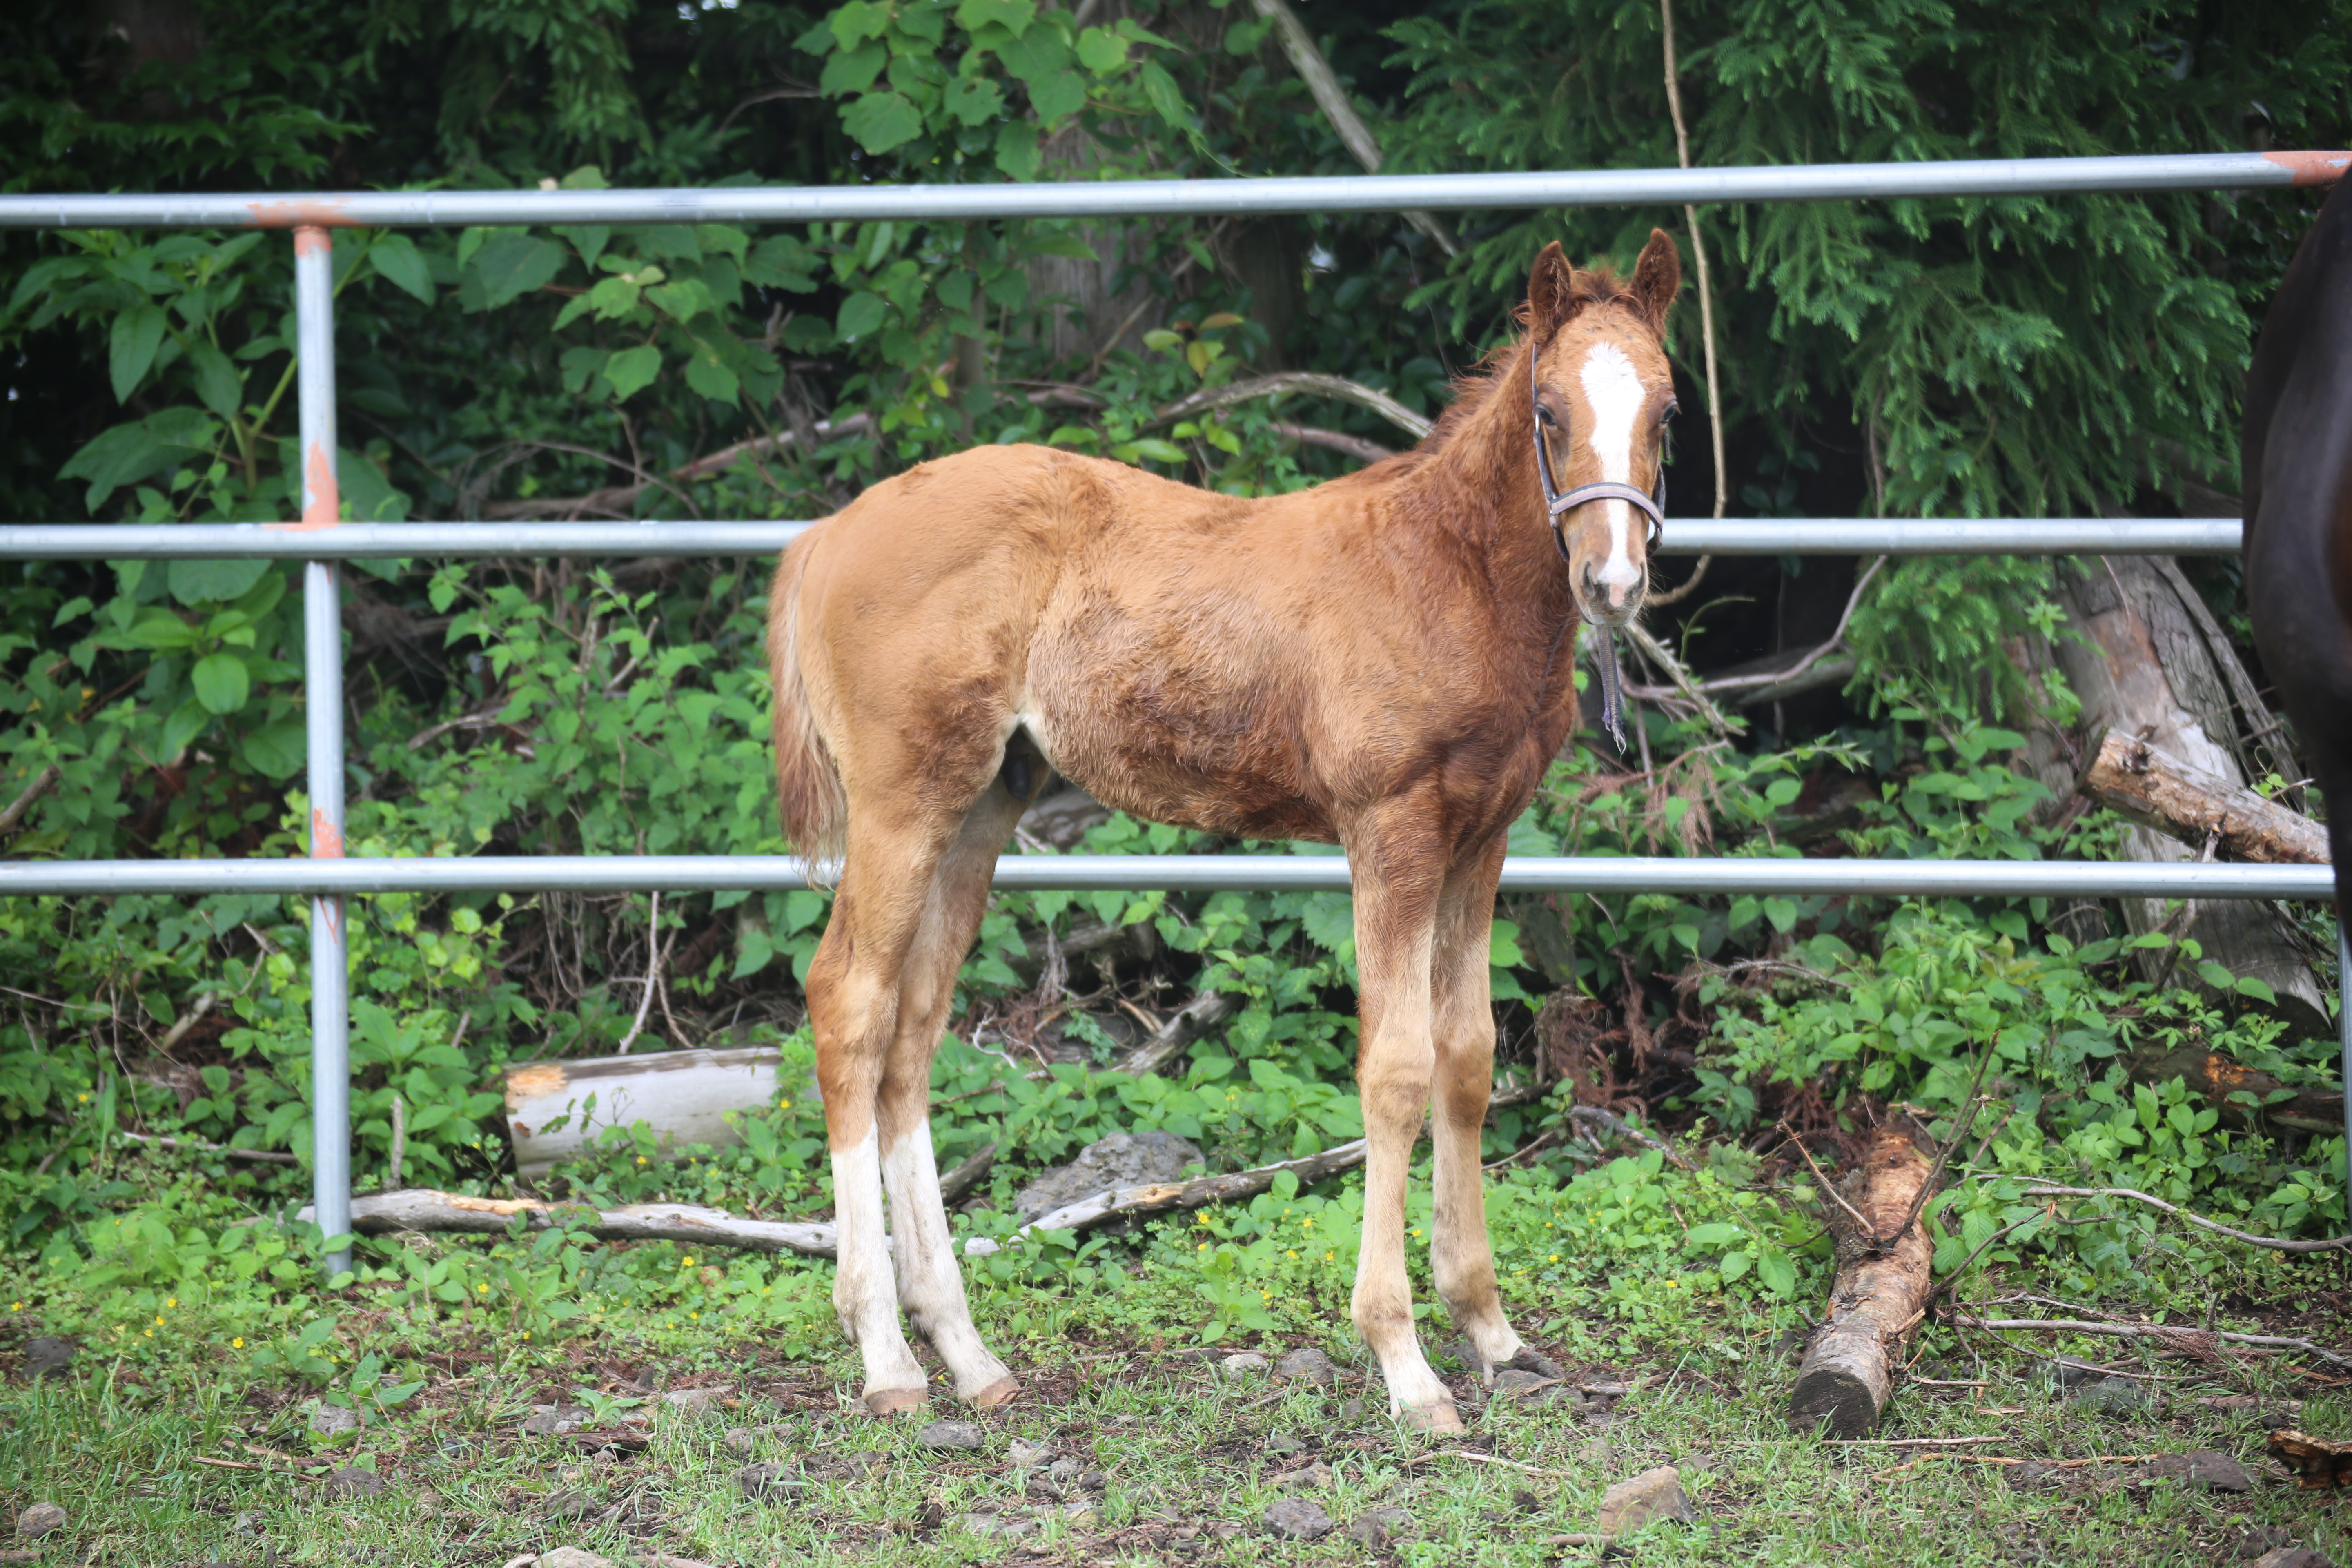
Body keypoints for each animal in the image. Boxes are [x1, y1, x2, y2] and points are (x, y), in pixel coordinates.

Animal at [766, 236, 1675, 1439]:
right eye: (1547, 409)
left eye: (1666, 410)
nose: (1612, 582)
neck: (1449, 576)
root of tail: (826, 533)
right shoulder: (1389, 832)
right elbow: (1394, 1067)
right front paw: (1406, 1364)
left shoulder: (1480, 839)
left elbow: (1469, 1058)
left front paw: (1490, 1330)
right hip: (900, 802)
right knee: (849, 1005)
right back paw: (886, 1356)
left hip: (981, 804)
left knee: (913, 1030)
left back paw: (967, 1352)